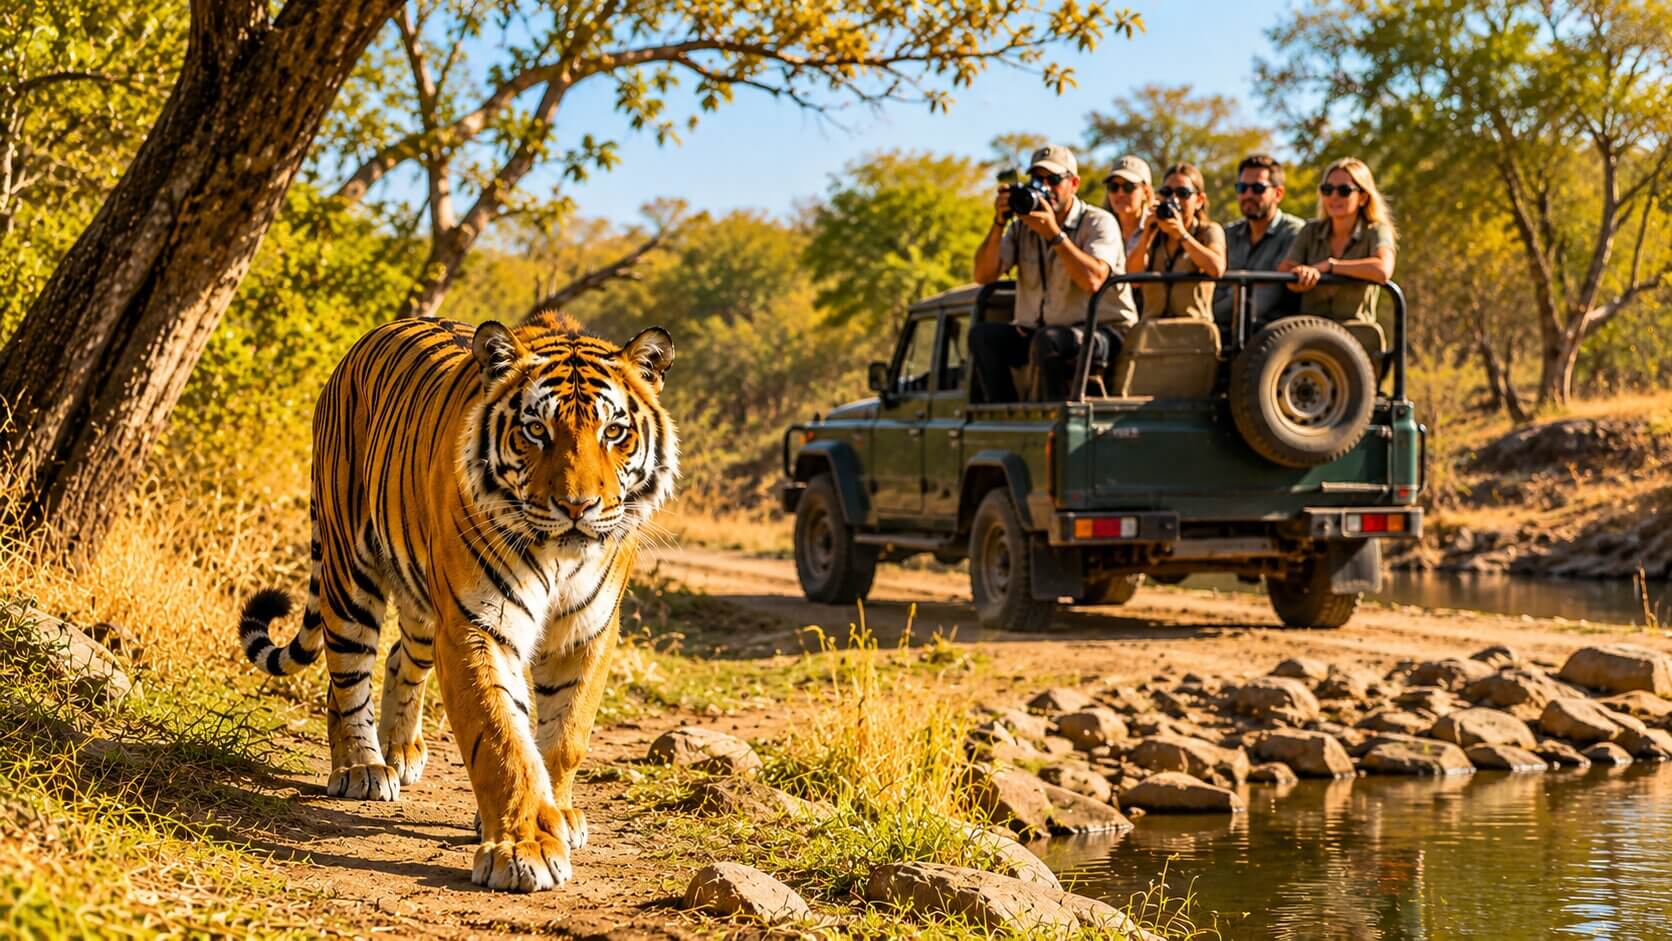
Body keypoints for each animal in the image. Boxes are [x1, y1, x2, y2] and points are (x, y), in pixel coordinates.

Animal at [236, 311, 677, 892]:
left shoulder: (588, 631)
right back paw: (361, 767)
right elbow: (501, 738)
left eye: (614, 432)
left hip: (423, 603)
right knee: (346, 672)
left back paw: (400, 751)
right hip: (349, 568)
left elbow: (565, 736)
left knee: (399, 658)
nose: (577, 507)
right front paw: (523, 849)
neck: (560, 555)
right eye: (536, 430)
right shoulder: (477, 622)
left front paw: (558, 816)